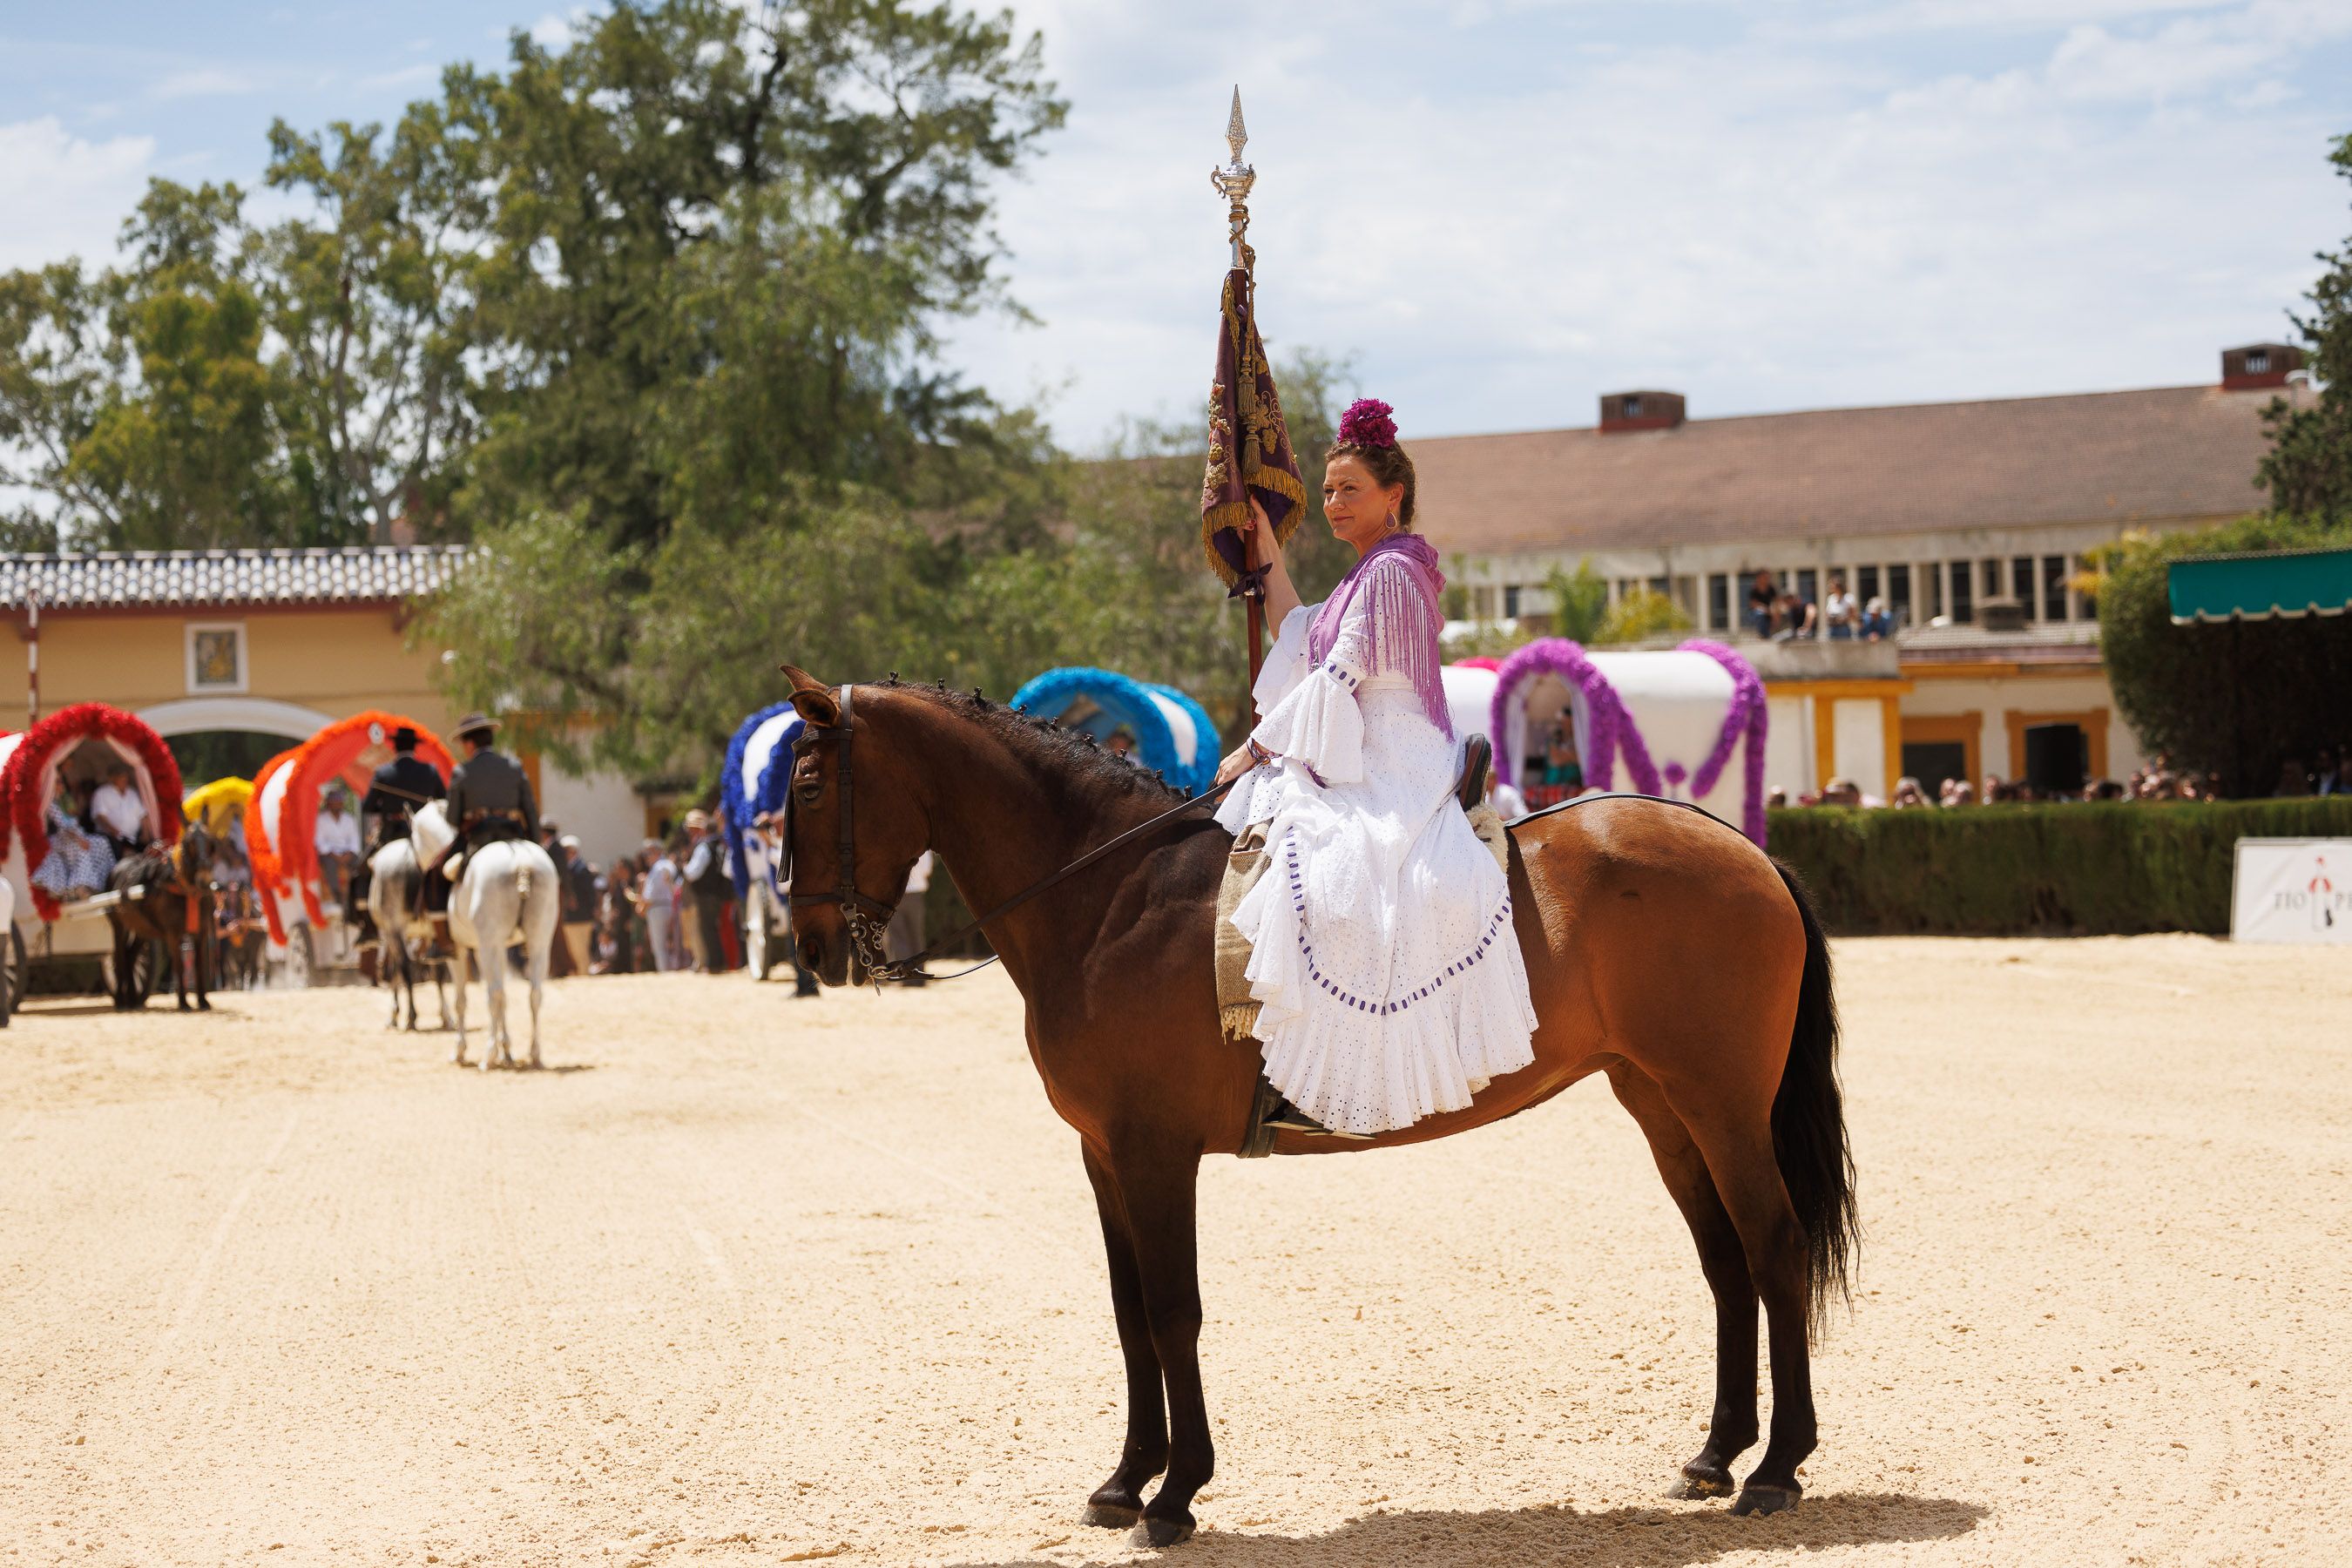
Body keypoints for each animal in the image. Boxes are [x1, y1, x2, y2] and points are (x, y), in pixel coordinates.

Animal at [104, 821, 215, 1013]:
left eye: (209, 840)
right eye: (189, 842)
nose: (204, 877)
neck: (186, 890)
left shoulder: (202, 931)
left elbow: (199, 964)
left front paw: (202, 1001)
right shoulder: (173, 933)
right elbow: (179, 966)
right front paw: (183, 1002)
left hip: (142, 929)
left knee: (130, 955)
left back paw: (132, 999)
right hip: (118, 925)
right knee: (119, 957)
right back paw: (120, 1000)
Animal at [364, 834, 451, 1032]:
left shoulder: (389, 932)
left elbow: (395, 968)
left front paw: (394, 1015)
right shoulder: (428, 933)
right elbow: (437, 971)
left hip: (395, 928)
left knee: (405, 964)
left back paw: (412, 1016)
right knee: (437, 968)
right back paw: (444, 1017)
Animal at [410, 801, 559, 1070]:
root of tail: (521, 861)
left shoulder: (461, 950)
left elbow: (462, 999)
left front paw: (461, 1050)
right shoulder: (494, 949)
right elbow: (505, 998)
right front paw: (507, 1050)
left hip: (488, 945)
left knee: (494, 993)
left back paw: (488, 1056)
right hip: (538, 942)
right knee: (534, 992)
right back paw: (534, 1054)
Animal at [774, 668, 1857, 1547]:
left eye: (810, 787)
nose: (812, 945)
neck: (1113, 893)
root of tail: (1744, 850)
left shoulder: (1155, 1154)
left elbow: (1172, 1311)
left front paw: (1176, 1495)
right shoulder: (1105, 1156)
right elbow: (1128, 1315)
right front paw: (1125, 1482)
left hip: (1721, 1105)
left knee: (1773, 1248)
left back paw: (1776, 1469)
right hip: (1664, 1106)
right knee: (1725, 1263)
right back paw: (1715, 1457)